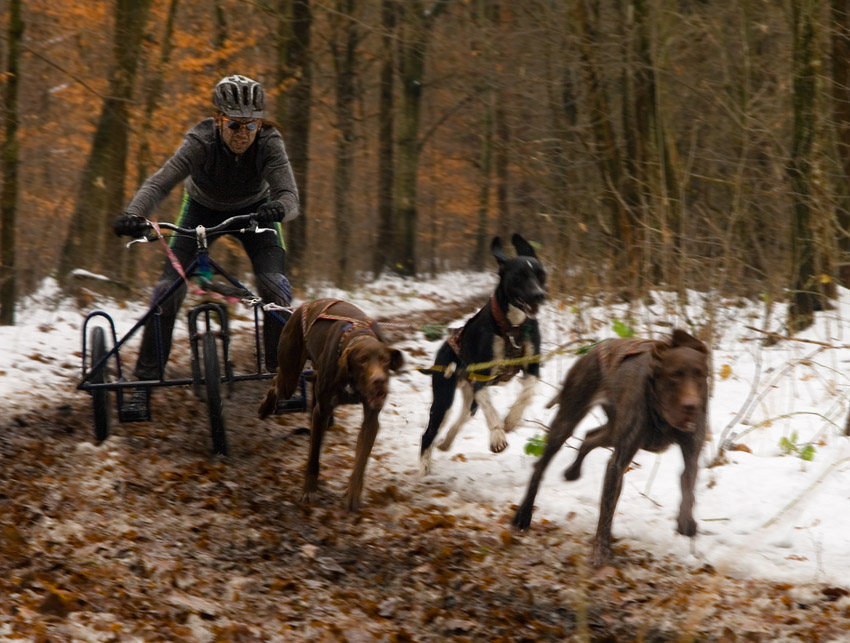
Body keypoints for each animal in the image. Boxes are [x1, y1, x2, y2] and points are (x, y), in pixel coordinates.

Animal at [256, 298, 402, 512]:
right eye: (362, 360)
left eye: (385, 360)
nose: (380, 381)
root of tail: (305, 305)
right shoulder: (322, 411)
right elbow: (313, 457)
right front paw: (309, 490)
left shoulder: (371, 419)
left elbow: (361, 461)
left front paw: (353, 494)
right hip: (289, 375)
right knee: (277, 382)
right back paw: (265, 408)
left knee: (309, 379)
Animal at [420, 234, 548, 476]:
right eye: (519, 276)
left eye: (541, 275)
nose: (540, 295)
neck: (512, 326)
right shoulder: (482, 377)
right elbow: (492, 411)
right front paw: (498, 436)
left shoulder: (532, 367)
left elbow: (527, 392)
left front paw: (512, 419)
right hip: (443, 398)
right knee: (429, 432)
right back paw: (424, 467)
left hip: (470, 398)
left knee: (463, 416)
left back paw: (446, 442)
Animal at [510, 330, 708, 568]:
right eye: (675, 376)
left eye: (700, 376)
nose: (692, 406)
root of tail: (594, 348)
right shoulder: (619, 462)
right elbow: (607, 510)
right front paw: (601, 551)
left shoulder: (691, 451)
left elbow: (688, 483)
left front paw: (686, 521)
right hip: (568, 419)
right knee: (541, 465)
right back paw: (524, 513)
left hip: (612, 431)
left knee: (590, 436)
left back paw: (573, 471)